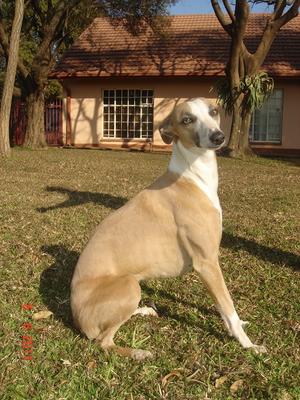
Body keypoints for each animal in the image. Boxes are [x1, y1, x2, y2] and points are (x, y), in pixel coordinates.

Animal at [71, 98, 266, 360]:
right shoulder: (207, 263)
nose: (218, 137)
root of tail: (77, 319)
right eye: (187, 119)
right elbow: (228, 306)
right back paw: (138, 352)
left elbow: (223, 308)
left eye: (214, 111)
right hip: (129, 286)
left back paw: (144, 310)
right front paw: (248, 344)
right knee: (104, 341)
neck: (191, 177)